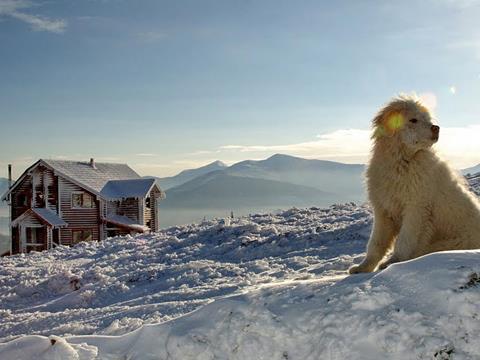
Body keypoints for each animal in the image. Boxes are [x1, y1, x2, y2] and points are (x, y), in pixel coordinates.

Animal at [348, 95, 480, 272]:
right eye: (413, 120)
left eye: (428, 119)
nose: (436, 128)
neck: (402, 161)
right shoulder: (383, 210)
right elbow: (376, 243)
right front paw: (362, 268)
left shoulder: (416, 208)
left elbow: (405, 240)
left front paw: (392, 262)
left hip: (453, 242)